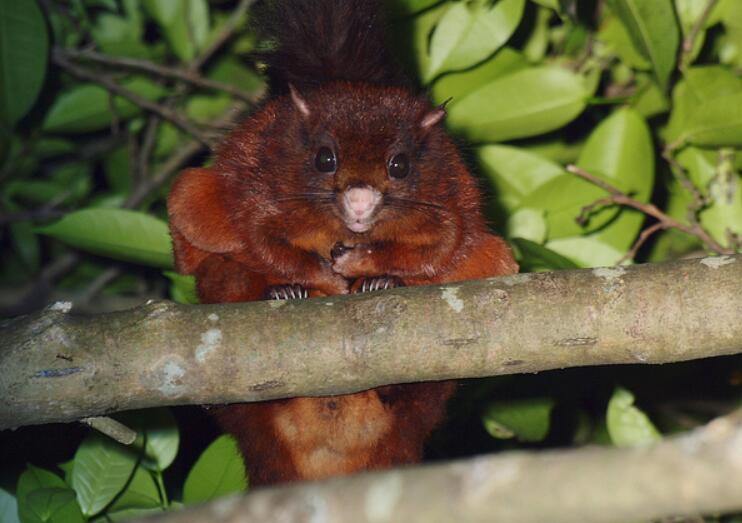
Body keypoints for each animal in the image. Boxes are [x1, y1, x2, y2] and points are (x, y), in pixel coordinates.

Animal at [167, 0, 518, 486]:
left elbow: (453, 248)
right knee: (220, 261)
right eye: (325, 158)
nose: (359, 200)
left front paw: (371, 273)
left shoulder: (453, 199)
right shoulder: (249, 177)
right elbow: (227, 228)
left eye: (398, 165)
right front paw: (320, 277)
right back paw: (279, 295)